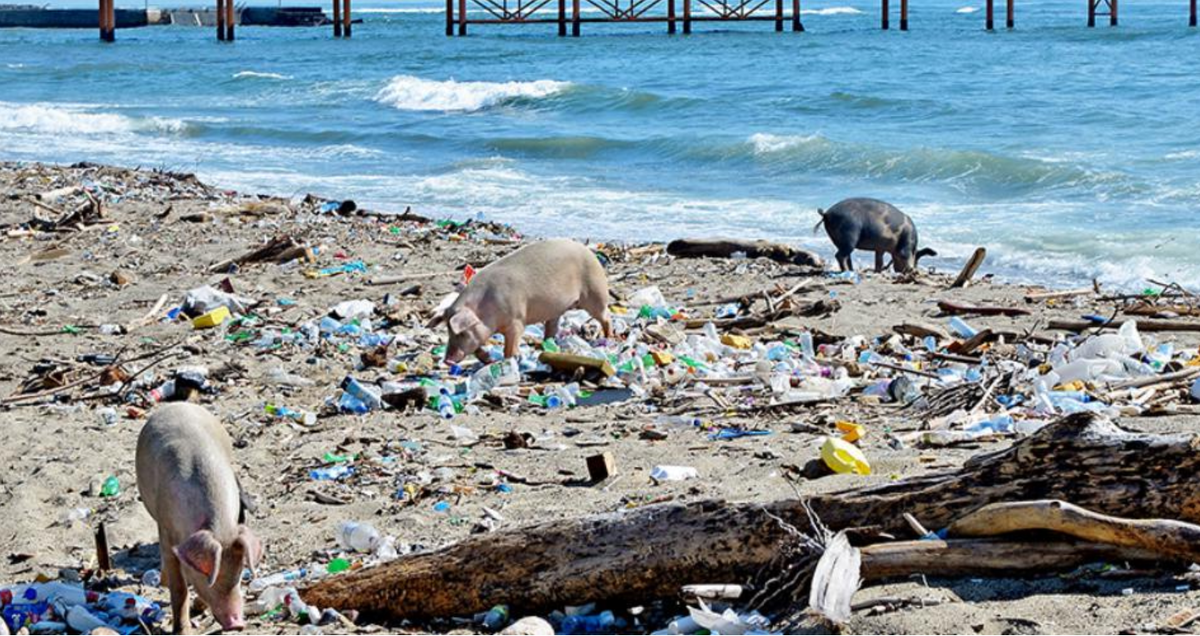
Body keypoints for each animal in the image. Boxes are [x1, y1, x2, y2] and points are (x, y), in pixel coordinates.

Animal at [136, 403, 261, 634]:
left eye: (240, 572)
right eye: (207, 574)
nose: (237, 624)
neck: (219, 528)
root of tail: (177, 404)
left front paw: (199, 608)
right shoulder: (166, 530)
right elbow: (179, 589)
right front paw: (183, 631)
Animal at [428, 238, 612, 363]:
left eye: (462, 333)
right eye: (448, 332)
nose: (447, 360)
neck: (485, 308)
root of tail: (589, 252)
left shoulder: (516, 320)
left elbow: (510, 346)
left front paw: (511, 359)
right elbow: (478, 346)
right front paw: (489, 359)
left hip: (595, 292)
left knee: (606, 317)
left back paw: (608, 339)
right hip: (557, 309)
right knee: (552, 327)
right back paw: (544, 346)